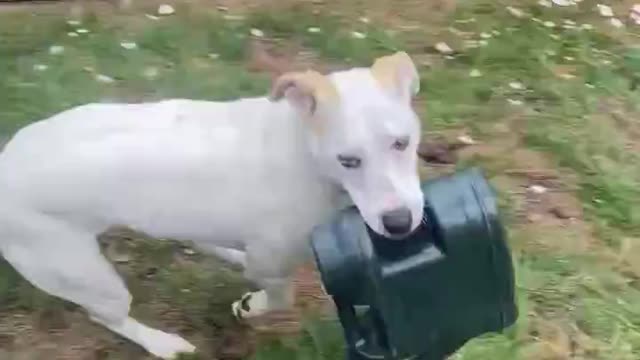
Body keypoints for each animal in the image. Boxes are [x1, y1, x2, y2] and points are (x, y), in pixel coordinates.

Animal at [0, 52, 424, 358]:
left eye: (402, 143)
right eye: (347, 160)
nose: (400, 223)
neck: (304, 152)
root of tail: (5, 165)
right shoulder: (272, 263)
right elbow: (278, 298)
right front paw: (253, 307)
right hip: (88, 277)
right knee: (108, 316)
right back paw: (162, 344)